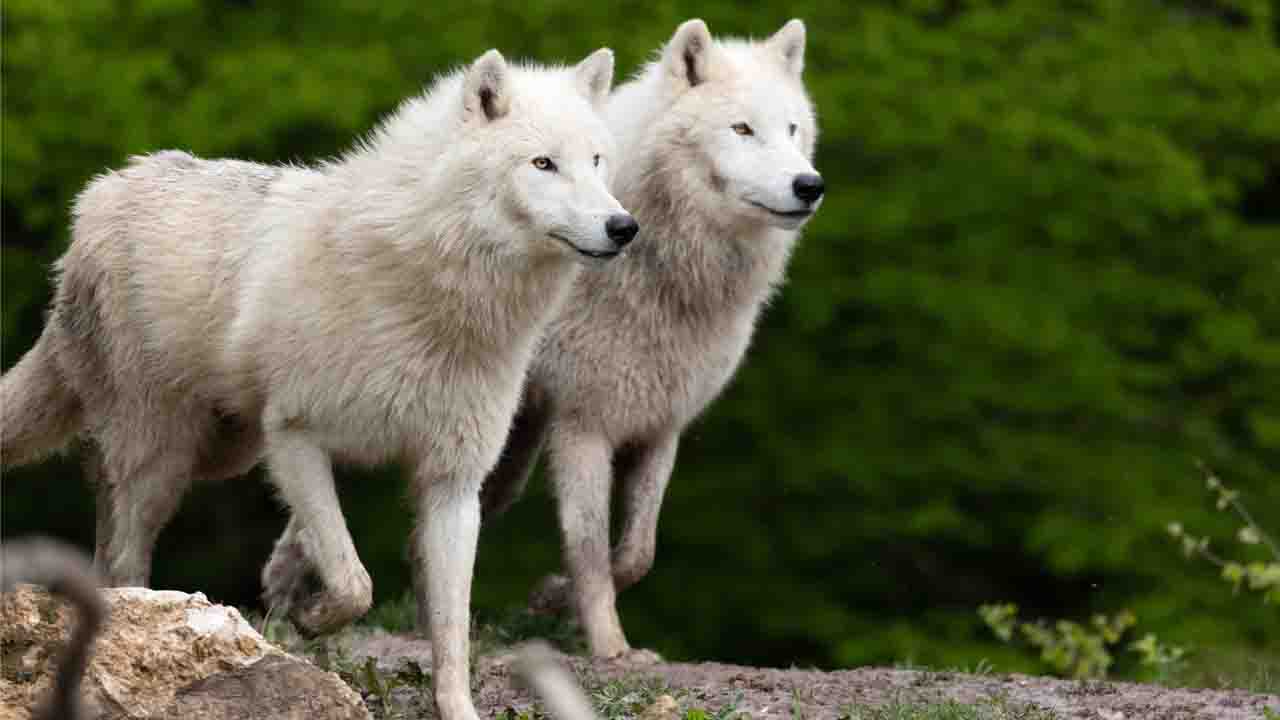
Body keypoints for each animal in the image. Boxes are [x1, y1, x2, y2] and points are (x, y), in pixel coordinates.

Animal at [1, 48, 633, 720]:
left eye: (597, 160)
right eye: (543, 163)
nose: (624, 226)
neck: (432, 298)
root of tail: (103, 191)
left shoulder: (454, 482)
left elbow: (452, 628)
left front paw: (454, 704)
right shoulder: (294, 438)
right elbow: (355, 581)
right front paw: (310, 616)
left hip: (219, 453)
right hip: (164, 462)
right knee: (125, 555)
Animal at [462, 18, 824, 660]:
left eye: (791, 129)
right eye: (742, 129)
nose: (809, 185)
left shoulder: (661, 425)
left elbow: (636, 552)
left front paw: (551, 598)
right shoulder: (584, 429)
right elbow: (589, 551)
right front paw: (611, 648)